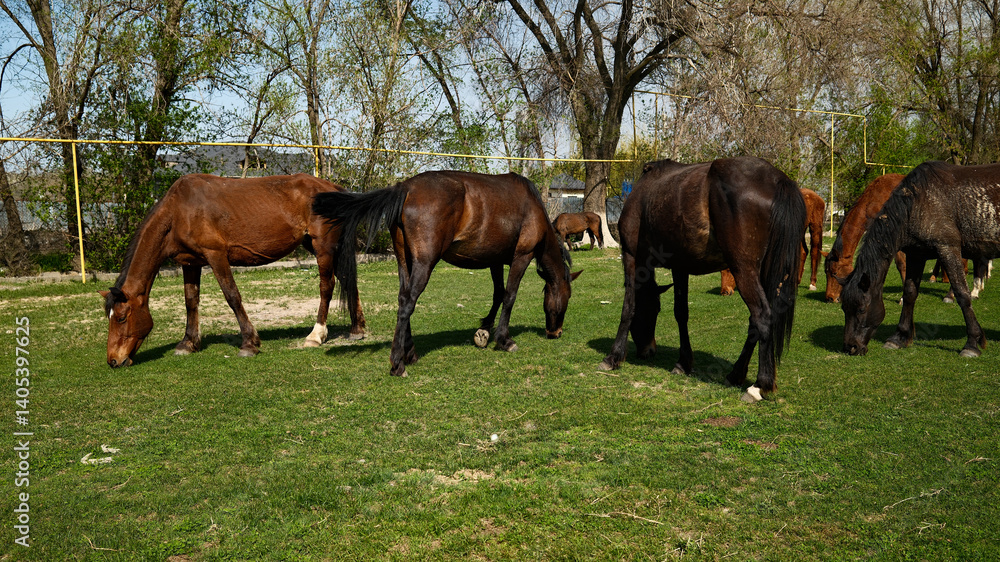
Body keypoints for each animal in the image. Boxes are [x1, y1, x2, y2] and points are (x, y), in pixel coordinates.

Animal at [100, 173, 366, 367]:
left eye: (122, 317)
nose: (113, 360)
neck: (178, 212)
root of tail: (333, 187)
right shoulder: (190, 263)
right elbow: (190, 301)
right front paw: (188, 343)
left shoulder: (216, 255)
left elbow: (232, 296)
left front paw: (249, 343)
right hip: (319, 246)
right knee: (347, 280)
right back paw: (357, 329)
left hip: (323, 248)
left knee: (327, 286)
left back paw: (316, 335)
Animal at [312, 170, 581, 378]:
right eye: (567, 298)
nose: (555, 333)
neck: (533, 207)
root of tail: (405, 188)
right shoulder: (522, 257)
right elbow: (510, 296)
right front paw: (504, 339)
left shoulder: (494, 260)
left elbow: (498, 294)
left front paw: (485, 329)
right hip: (424, 262)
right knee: (408, 302)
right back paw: (398, 364)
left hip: (405, 261)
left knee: (402, 298)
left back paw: (409, 353)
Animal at [598, 157, 806, 403]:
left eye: (651, 311)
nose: (648, 350)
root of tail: (777, 179)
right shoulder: (680, 266)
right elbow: (681, 313)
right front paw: (683, 363)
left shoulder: (631, 257)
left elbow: (628, 308)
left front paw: (613, 357)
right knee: (755, 322)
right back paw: (736, 374)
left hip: (744, 270)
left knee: (762, 316)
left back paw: (759, 385)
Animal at [840, 161, 1000, 358]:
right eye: (844, 308)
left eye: (861, 309)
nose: (851, 347)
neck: (919, 202)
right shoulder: (916, 254)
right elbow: (909, 293)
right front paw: (899, 337)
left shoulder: (948, 248)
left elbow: (963, 294)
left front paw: (972, 343)